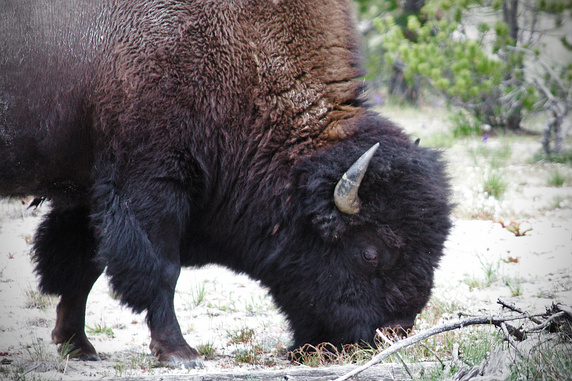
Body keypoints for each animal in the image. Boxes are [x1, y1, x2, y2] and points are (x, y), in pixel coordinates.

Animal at [2, 0, 454, 366]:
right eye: (370, 252)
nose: (391, 334)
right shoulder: (149, 185)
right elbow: (160, 268)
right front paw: (179, 353)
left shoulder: (88, 194)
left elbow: (81, 265)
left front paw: (78, 346)